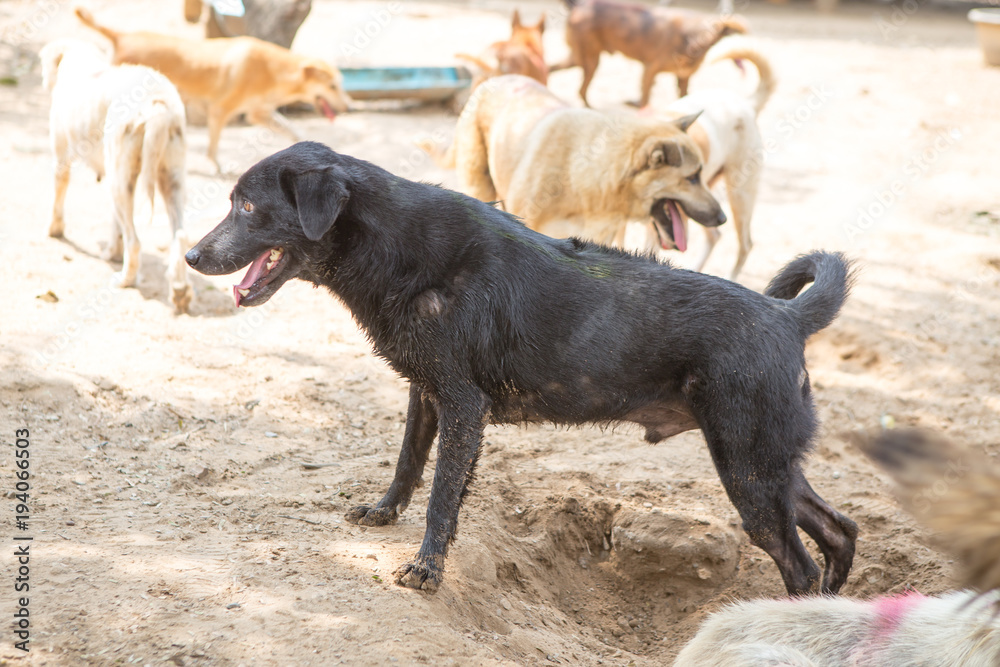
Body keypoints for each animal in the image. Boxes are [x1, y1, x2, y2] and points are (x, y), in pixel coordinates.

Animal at [39, 38, 191, 314]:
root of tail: (158, 105)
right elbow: (114, 222)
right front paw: (112, 251)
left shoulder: (61, 158)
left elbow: (58, 194)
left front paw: (54, 229)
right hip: (167, 178)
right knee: (180, 236)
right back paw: (180, 291)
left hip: (121, 179)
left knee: (135, 241)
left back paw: (125, 280)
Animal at [74, 6, 350, 171]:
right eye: (333, 86)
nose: (347, 107)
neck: (272, 69)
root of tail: (121, 36)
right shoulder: (220, 111)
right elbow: (214, 146)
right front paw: (217, 167)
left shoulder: (258, 113)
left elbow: (292, 130)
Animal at [188, 141, 860, 596]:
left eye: (246, 205)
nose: (191, 255)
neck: (396, 244)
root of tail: (787, 316)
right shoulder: (425, 393)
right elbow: (409, 465)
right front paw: (383, 512)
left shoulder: (463, 406)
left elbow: (441, 496)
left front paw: (427, 568)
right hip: (768, 466)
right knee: (841, 530)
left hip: (748, 475)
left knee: (800, 567)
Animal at [552, 0, 748, 107]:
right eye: (736, 36)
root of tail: (581, 5)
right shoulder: (649, 71)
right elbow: (645, 100)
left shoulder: (683, 79)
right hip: (589, 60)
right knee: (579, 87)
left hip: (581, 59)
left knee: (564, 78)